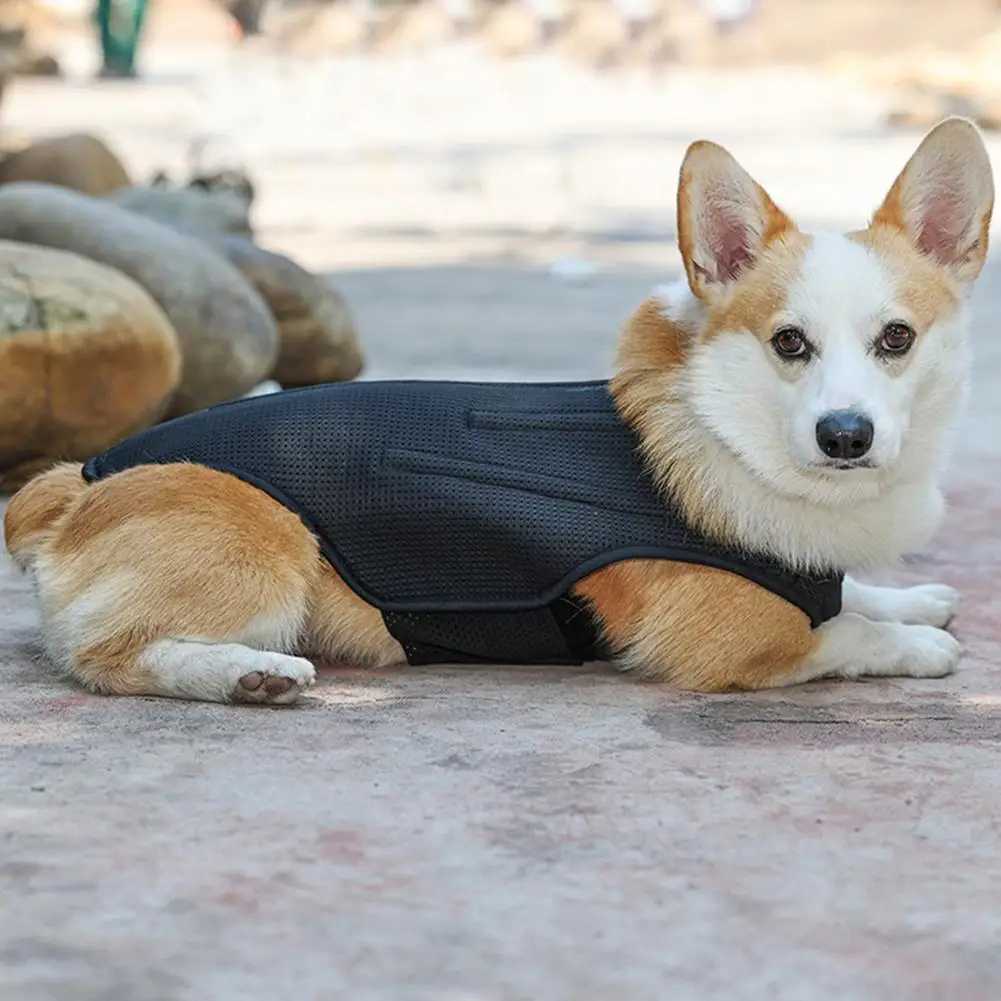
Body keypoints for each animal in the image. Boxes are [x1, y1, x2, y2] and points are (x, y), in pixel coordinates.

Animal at [3, 117, 992, 704]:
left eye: (895, 338)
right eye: (788, 343)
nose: (845, 436)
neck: (731, 429)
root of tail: (75, 484)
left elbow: (846, 590)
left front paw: (914, 596)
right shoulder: (734, 643)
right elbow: (840, 629)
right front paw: (913, 641)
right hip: (272, 545)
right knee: (101, 655)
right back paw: (251, 673)